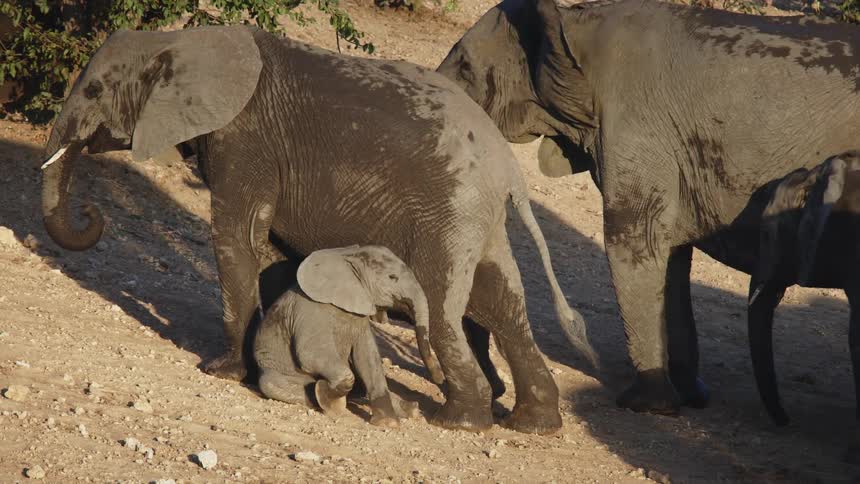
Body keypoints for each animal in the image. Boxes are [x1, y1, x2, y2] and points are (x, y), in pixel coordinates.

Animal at [254, 245, 440, 427]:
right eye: (392, 277)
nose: (440, 378)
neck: (346, 255)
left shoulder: (360, 315)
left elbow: (367, 358)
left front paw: (388, 423)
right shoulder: (310, 309)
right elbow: (310, 355)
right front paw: (329, 401)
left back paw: (412, 410)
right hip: (274, 373)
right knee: (274, 385)